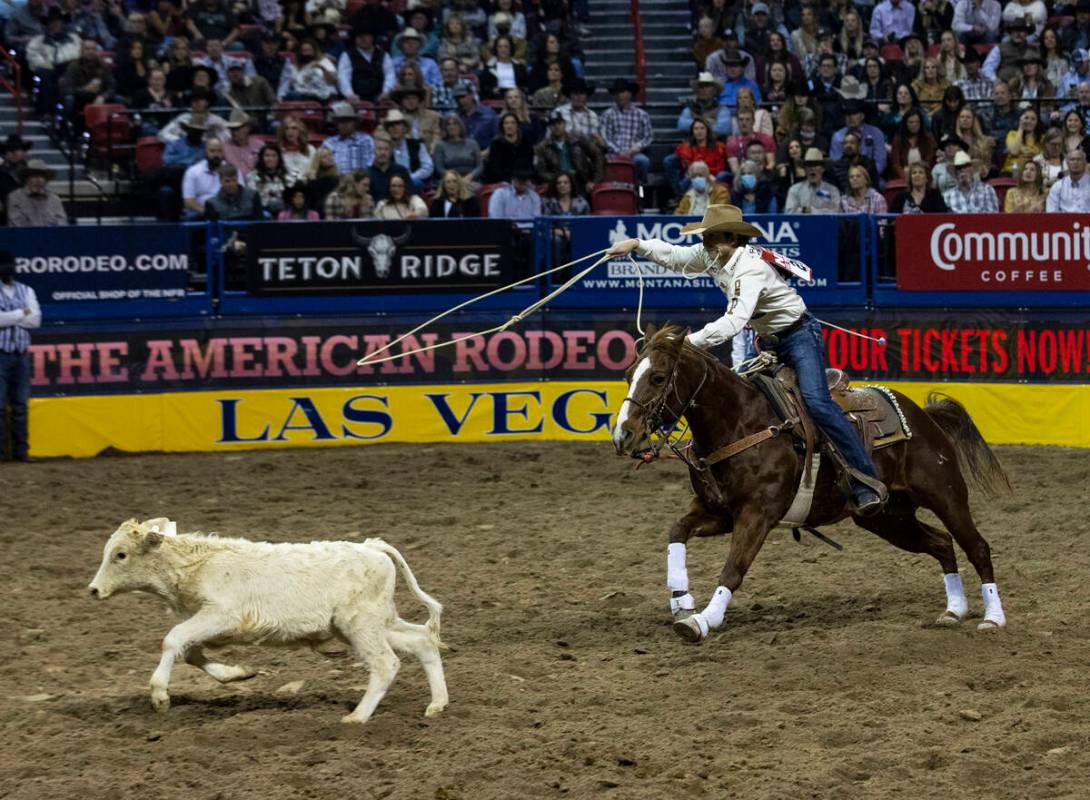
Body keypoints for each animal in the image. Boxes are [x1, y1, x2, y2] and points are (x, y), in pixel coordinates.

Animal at [87, 520, 449, 728]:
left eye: (120, 554)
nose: (93, 590)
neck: (197, 565)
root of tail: (372, 547)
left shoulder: (221, 614)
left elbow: (173, 640)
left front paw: (160, 695)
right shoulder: (211, 624)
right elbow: (190, 653)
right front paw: (237, 674)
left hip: (360, 624)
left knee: (386, 663)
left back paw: (357, 717)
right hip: (372, 623)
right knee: (422, 642)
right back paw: (437, 705)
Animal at [614, 326, 1011, 645]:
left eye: (659, 378)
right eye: (631, 373)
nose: (623, 434)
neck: (741, 422)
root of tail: (925, 418)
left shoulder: (758, 514)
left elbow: (734, 569)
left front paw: (701, 621)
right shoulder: (718, 511)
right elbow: (676, 531)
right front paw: (681, 602)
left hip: (946, 495)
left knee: (976, 546)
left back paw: (993, 618)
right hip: (887, 517)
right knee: (942, 544)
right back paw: (954, 610)